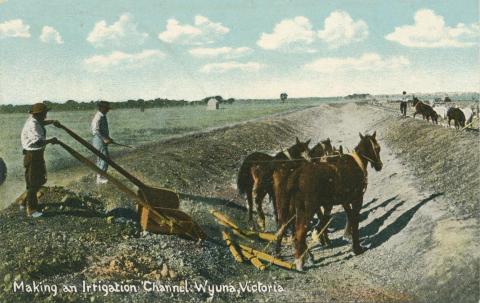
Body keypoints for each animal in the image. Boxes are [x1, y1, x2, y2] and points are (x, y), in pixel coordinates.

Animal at [282, 132, 382, 272]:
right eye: (377, 148)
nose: (379, 166)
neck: (357, 163)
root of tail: (297, 175)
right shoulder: (357, 199)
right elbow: (355, 221)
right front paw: (356, 248)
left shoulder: (345, 201)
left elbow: (350, 217)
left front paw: (348, 236)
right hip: (308, 210)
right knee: (300, 233)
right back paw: (300, 261)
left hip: (296, 211)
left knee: (296, 234)